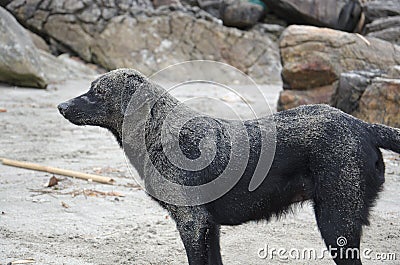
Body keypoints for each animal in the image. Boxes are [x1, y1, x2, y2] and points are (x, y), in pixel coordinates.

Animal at [58, 68, 400, 264]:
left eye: (96, 93)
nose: (60, 106)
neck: (158, 131)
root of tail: (362, 125)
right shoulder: (209, 228)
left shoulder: (192, 224)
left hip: (337, 221)